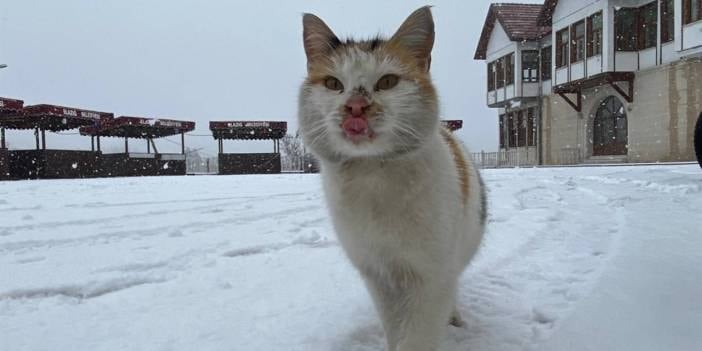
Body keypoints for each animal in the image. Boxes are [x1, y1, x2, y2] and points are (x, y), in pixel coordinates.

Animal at [298, 6, 490, 351]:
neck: (372, 174)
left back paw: (454, 316)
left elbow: (417, 336)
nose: (355, 107)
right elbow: (394, 327)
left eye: (387, 81)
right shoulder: (378, 275)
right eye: (333, 83)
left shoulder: (431, 277)